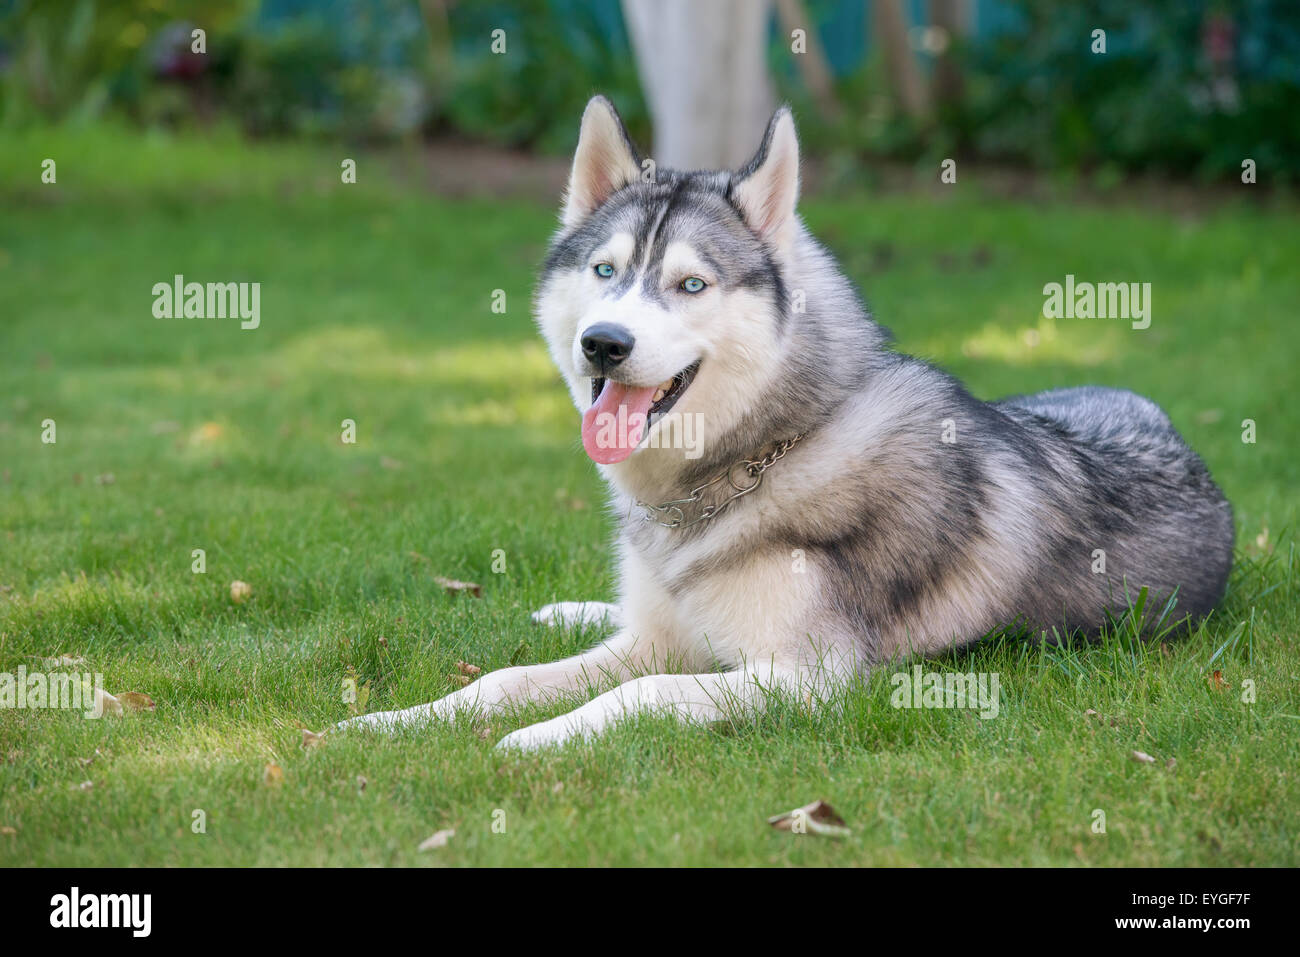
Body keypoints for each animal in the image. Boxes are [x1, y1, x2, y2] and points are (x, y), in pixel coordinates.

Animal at [340, 98, 1232, 754]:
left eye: (690, 284)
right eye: (605, 270)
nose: (604, 342)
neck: (756, 459)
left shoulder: (806, 679)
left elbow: (640, 692)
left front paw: (537, 737)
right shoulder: (657, 639)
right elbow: (499, 680)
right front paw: (393, 722)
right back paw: (567, 607)